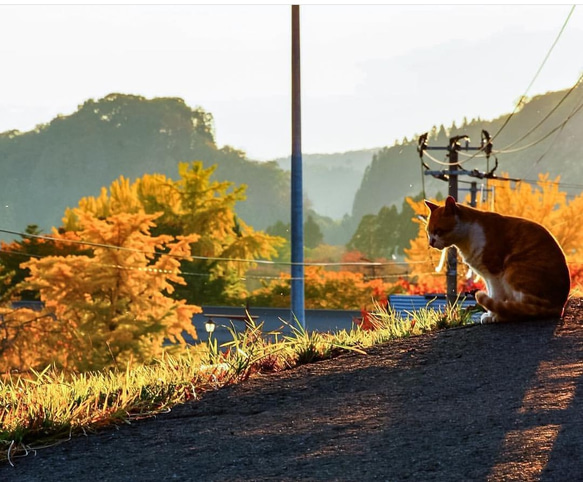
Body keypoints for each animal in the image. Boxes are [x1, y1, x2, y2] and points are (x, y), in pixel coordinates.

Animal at [424, 196, 572, 324]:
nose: (431, 242)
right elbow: (491, 294)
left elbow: (495, 296)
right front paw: (491, 313)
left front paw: (492, 315)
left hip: (513, 270)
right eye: (428, 232)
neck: (466, 240)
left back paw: (503, 316)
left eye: (438, 231)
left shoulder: (494, 272)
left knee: (525, 312)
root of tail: (558, 306)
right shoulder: (486, 275)